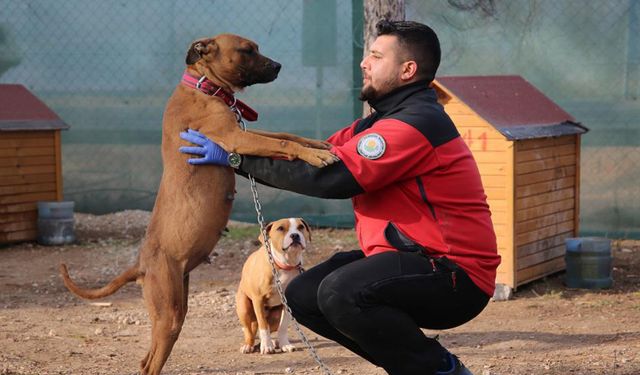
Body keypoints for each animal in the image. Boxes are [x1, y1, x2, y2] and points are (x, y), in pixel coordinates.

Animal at [236, 217, 312, 356]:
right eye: (280, 228)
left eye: (300, 227)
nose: (295, 235)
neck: (284, 265)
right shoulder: (258, 300)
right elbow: (263, 327)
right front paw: (266, 346)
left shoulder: (287, 304)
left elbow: (283, 327)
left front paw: (284, 344)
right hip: (244, 308)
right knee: (249, 331)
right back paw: (248, 345)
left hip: (275, 317)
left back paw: (274, 342)